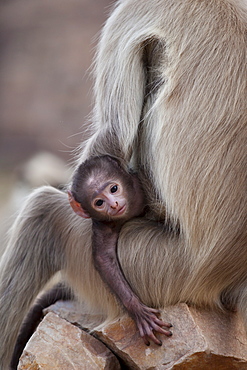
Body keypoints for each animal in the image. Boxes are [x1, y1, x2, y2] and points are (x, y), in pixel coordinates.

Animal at [67, 156, 172, 346]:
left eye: (114, 189)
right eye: (99, 202)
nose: (114, 204)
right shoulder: (104, 225)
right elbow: (104, 259)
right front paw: (136, 309)